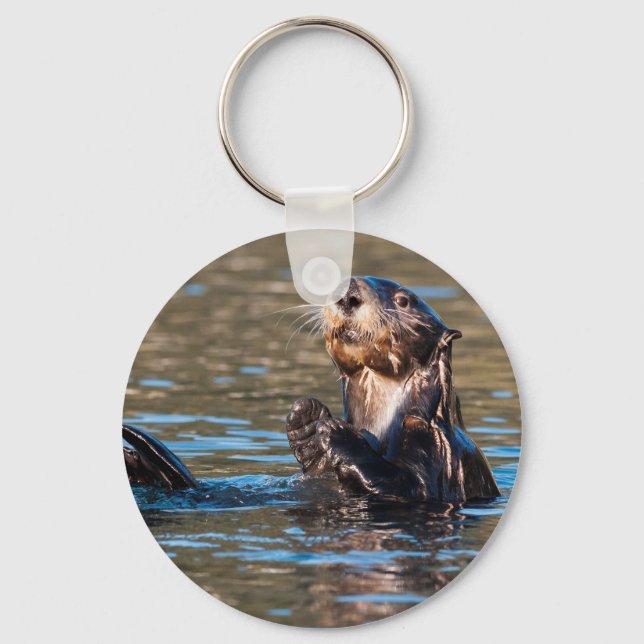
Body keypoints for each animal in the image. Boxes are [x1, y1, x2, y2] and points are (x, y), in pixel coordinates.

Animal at [123, 276, 498, 503]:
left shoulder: (435, 448)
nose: (349, 293)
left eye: (404, 300)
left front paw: (335, 432)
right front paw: (306, 418)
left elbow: (408, 486)